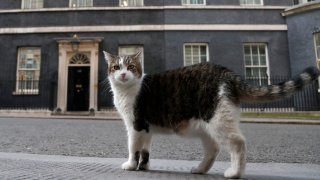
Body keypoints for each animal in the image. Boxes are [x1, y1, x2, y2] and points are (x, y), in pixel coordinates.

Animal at [104, 51, 318, 179]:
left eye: (130, 67)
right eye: (116, 67)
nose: (122, 75)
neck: (127, 90)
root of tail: (226, 73)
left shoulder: (135, 125)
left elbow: (133, 148)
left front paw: (131, 165)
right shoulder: (146, 129)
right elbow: (145, 150)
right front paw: (144, 167)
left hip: (217, 120)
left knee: (238, 143)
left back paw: (235, 172)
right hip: (206, 126)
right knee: (213, 148)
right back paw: (200, 169)